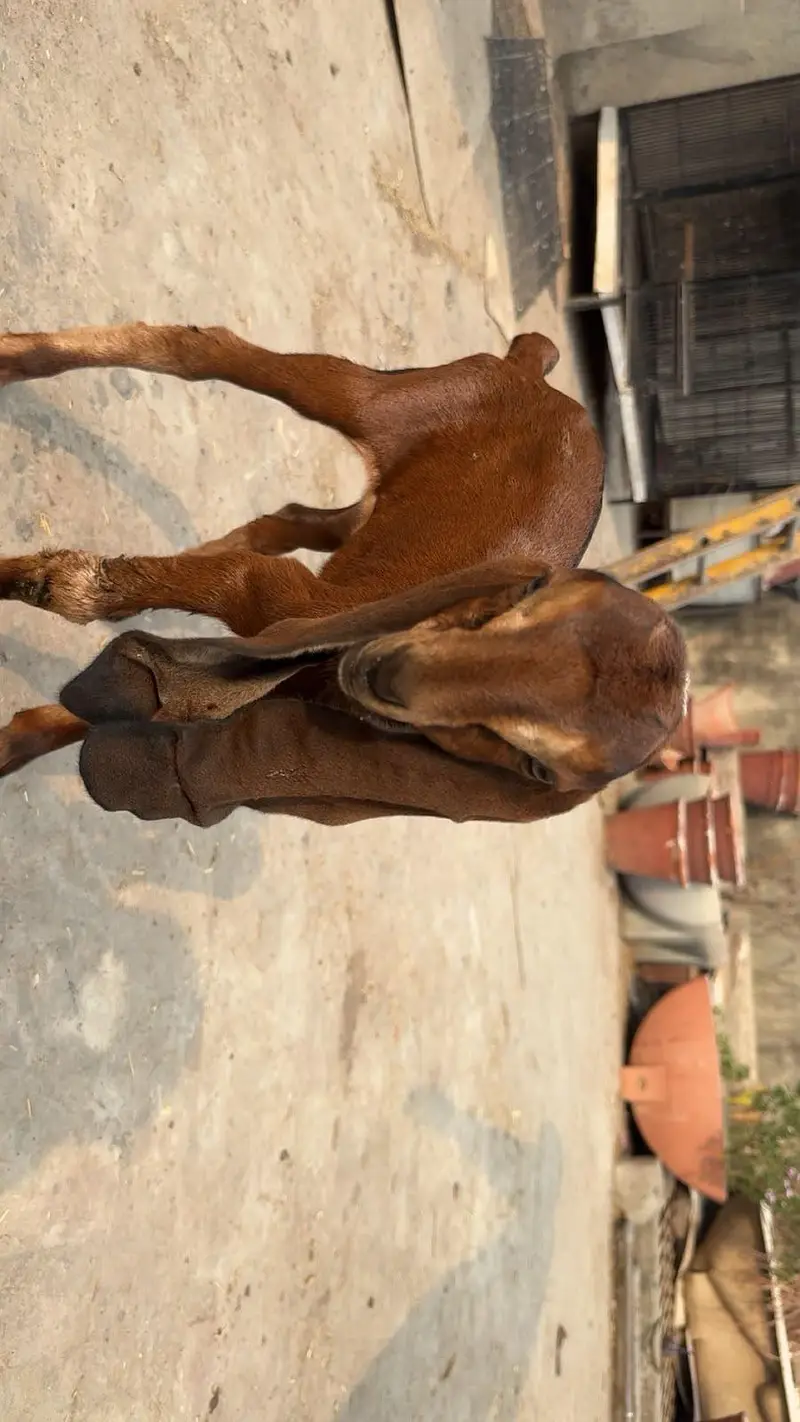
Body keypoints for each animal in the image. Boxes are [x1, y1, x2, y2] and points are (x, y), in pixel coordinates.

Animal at [0, 323, 687, 828]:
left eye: (536, 766)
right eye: (530, 595)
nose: (380, 670)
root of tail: (537, 373)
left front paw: (13, 745)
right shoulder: (269, 599)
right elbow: (96, 595)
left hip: (378, 499)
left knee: (294, 521)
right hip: (390, 401)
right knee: (206, 349)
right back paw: (17, 359)